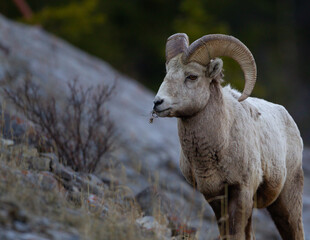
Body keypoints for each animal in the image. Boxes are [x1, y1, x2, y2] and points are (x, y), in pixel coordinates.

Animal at [154, 34, 304, 240]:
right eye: (167, 73)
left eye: (192, 76)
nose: (157, 103)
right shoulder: (215, 196)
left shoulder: (241, 191)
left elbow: (235, 233)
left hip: (286, 202)